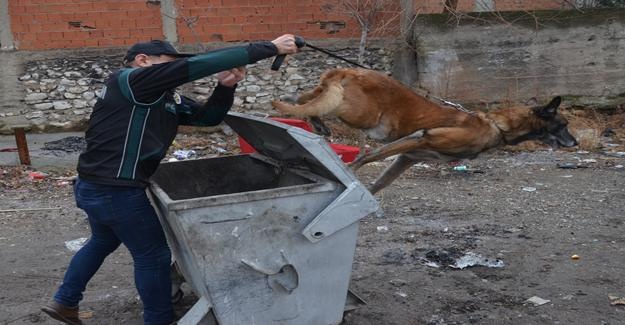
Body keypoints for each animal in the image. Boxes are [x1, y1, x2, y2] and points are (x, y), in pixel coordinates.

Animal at [272, 67, 576, 192]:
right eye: (563, 124)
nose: (574, 143)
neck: (495, 126)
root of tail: (347, 70)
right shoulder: (421, 138)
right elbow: (370, 156)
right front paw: (351, 170)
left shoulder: (409, 157)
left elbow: (381, 182)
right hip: (360, 113)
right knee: (320, 105)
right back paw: (314, 119)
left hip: (338, 98)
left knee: (305, 97)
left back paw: (296, 104)